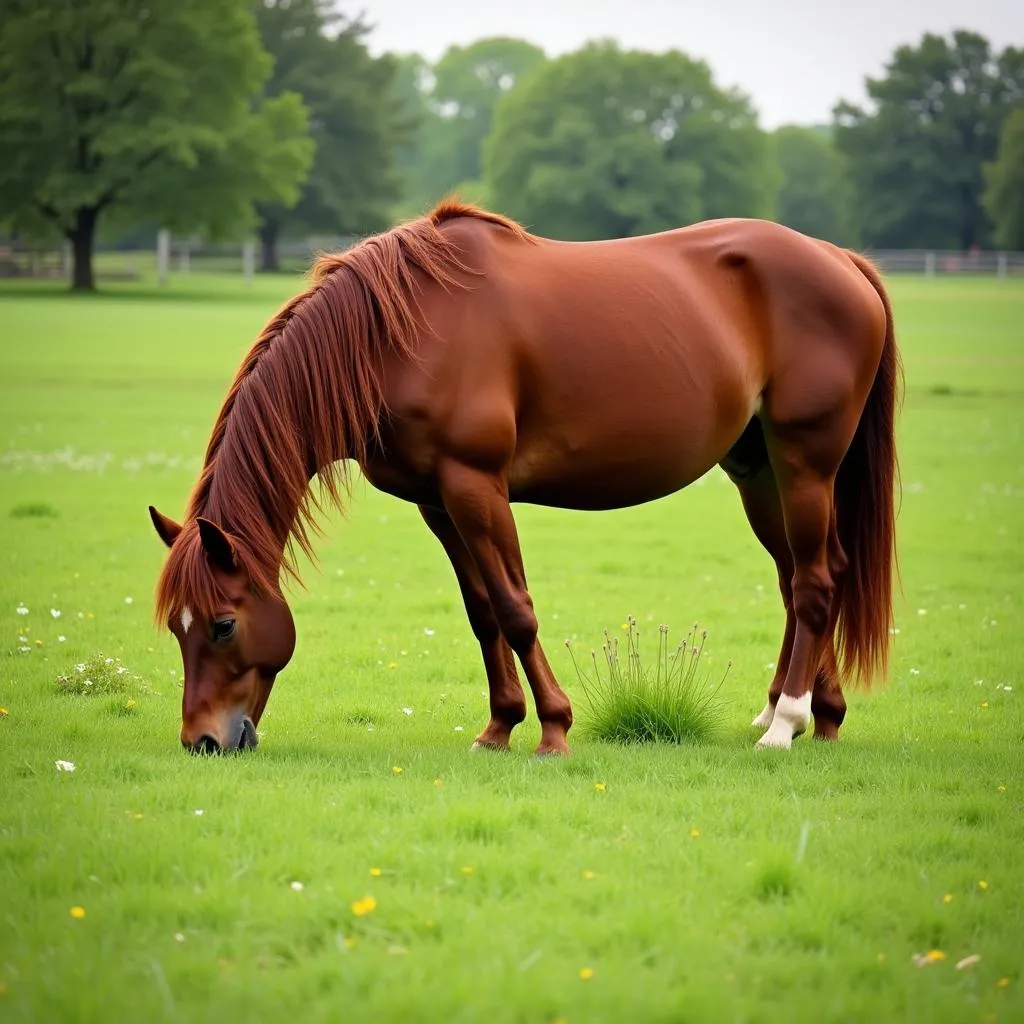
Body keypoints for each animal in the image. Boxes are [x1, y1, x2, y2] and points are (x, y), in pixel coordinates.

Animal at [148, 201, 901, 761]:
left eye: (222, 624)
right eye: (176, 629)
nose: (202, 742)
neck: (398, 337)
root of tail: (841, 260)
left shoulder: (475, 486)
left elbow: (515, 608)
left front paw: (554, 729)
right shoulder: (437, 502)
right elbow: (482, 613)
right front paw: (499, 727)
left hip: (806, 463)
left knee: (816, 582)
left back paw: (788, 724)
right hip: (758, 471)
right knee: (800, 577)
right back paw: (809, 715)